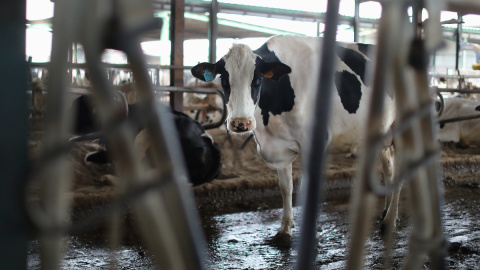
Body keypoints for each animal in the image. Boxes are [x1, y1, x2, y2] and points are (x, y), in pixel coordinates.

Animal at [191, 34, 398, 244]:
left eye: (258, 79)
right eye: (224, 79)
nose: (241, 123)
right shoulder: (279, 146)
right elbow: (286, 187)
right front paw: (284, 230)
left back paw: (389, 221)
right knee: (389, 170)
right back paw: (385, 212)